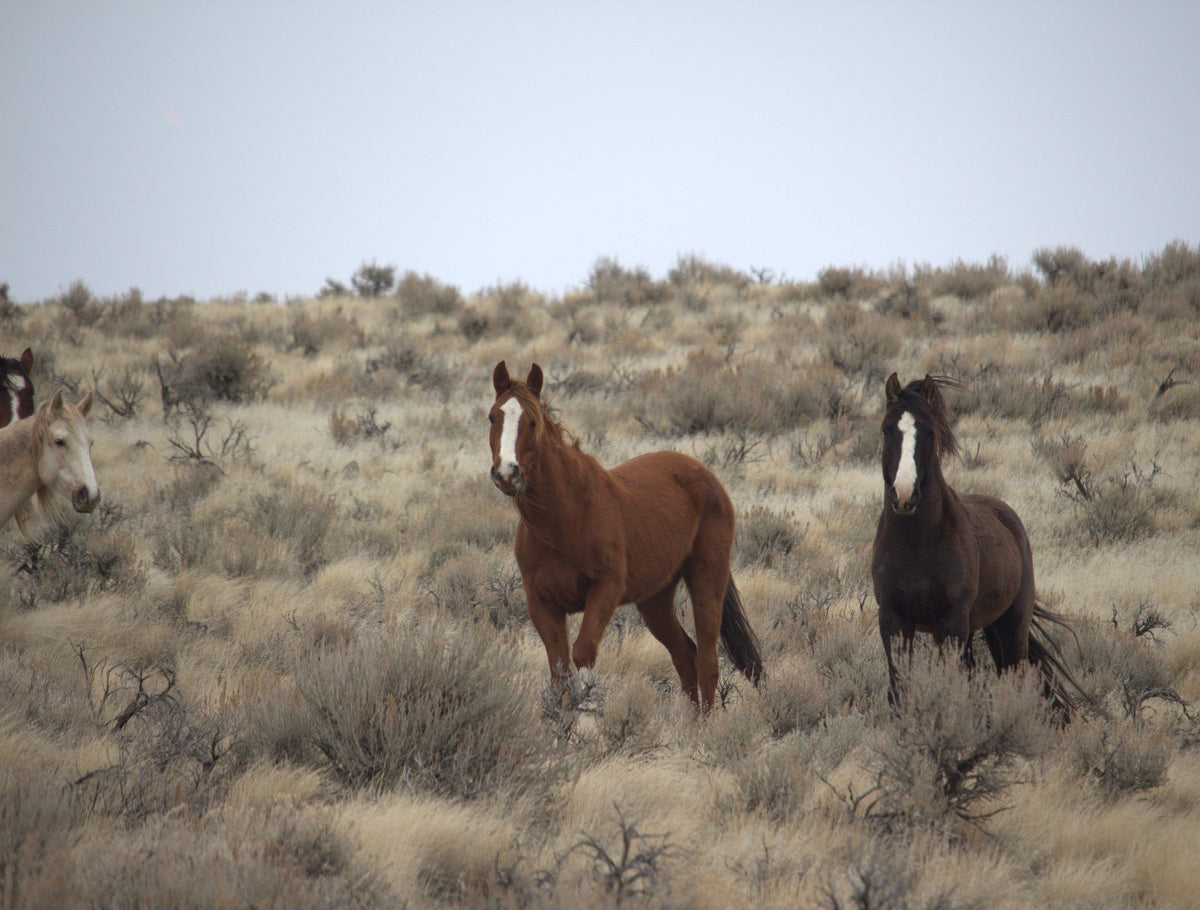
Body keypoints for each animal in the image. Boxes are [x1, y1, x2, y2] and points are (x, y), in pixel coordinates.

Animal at [488, 361, 763, 712]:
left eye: (532, 420)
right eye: (492, 417)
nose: (507, 474)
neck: (564, 519)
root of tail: (704, 474)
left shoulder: (605, 589)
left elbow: (583, 653)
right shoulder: (542, 603)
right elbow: (559, 671)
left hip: (706, 577)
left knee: (707, 661)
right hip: (655, 600)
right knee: (684, 655)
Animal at [870, 373, 1083, 719]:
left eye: (928, 431)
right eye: (887, 429)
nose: (904, 495)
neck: (916, 544)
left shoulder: (951, 624)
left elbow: (950, 686)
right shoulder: (894, 622)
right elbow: (898, 690)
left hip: (1011, 625)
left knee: (1013, 675)